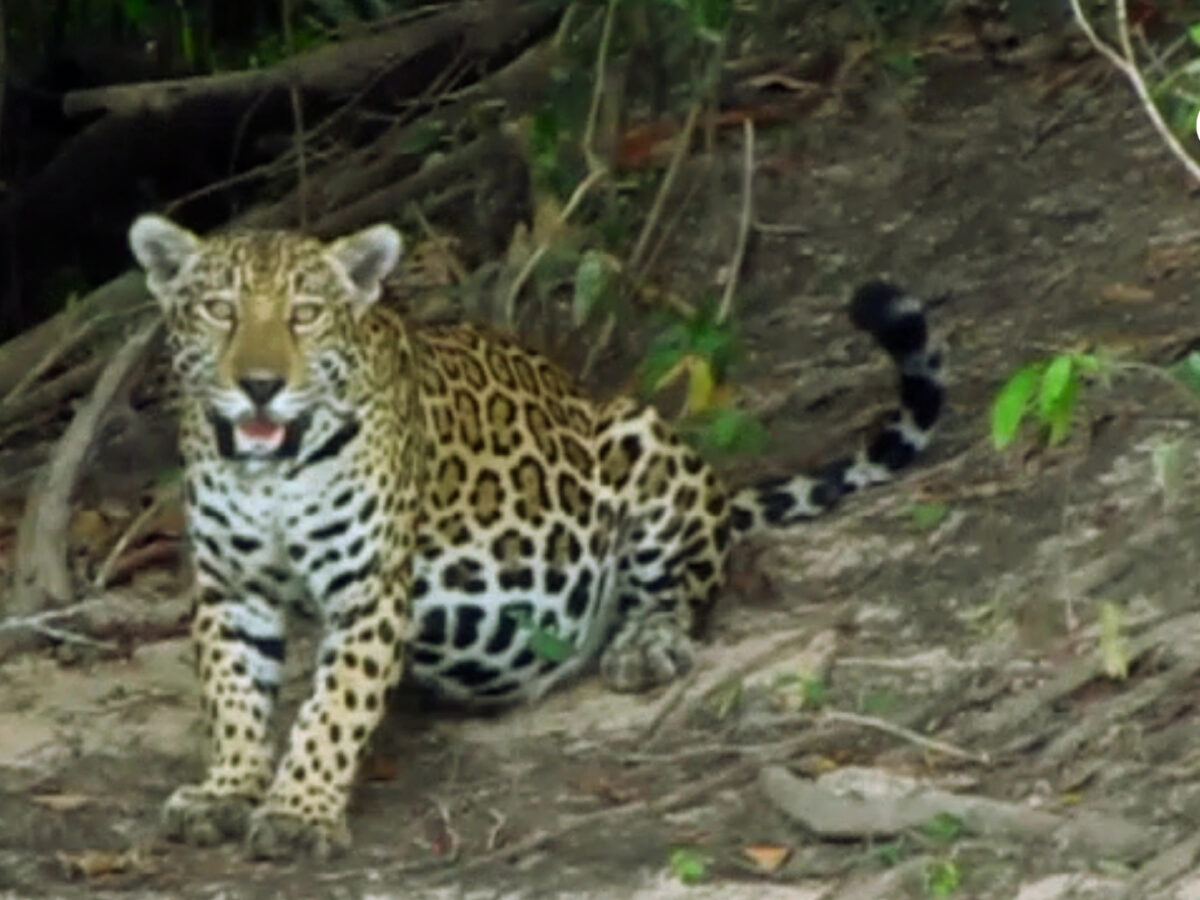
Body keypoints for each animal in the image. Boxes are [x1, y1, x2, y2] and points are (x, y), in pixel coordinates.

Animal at [128, 213, 944, 861]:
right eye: (220, 311)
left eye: (304, 314)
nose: (260, 385)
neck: (268, 472)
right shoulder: (231, 591)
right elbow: (232, 697)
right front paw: (227, 791)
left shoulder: (368, 590)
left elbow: (334, 708)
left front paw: (299, 812)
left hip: (638, 437)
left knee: (685, 585)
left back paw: (646, 644)